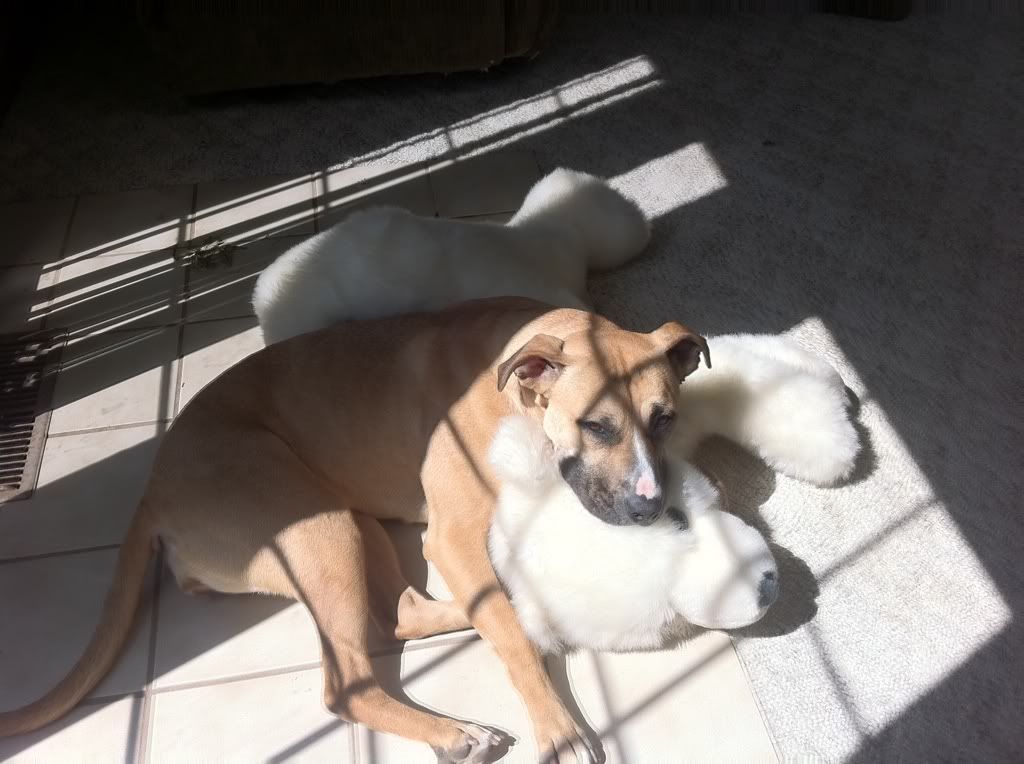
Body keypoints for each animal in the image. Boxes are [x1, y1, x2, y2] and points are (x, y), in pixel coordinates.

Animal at [0, 296, 704, 757]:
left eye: (665, 418)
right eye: (596, 425)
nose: (648, 509)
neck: (520, 393)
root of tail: (154, 488)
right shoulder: (451, 535)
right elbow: (509, 638)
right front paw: (557, 729)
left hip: (352, 524)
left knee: (403, 612)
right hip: (320, 529)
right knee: (349, 683)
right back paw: (456, 729)